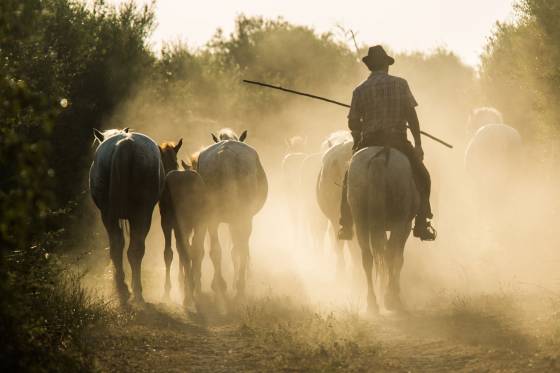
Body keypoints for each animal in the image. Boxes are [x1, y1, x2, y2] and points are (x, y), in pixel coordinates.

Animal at [89, 127, 164, 302]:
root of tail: (125, 144)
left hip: (114, 214)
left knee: (122, 247)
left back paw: (126, 286)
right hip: (141, 215)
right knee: (132, 249)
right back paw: (133, 287)